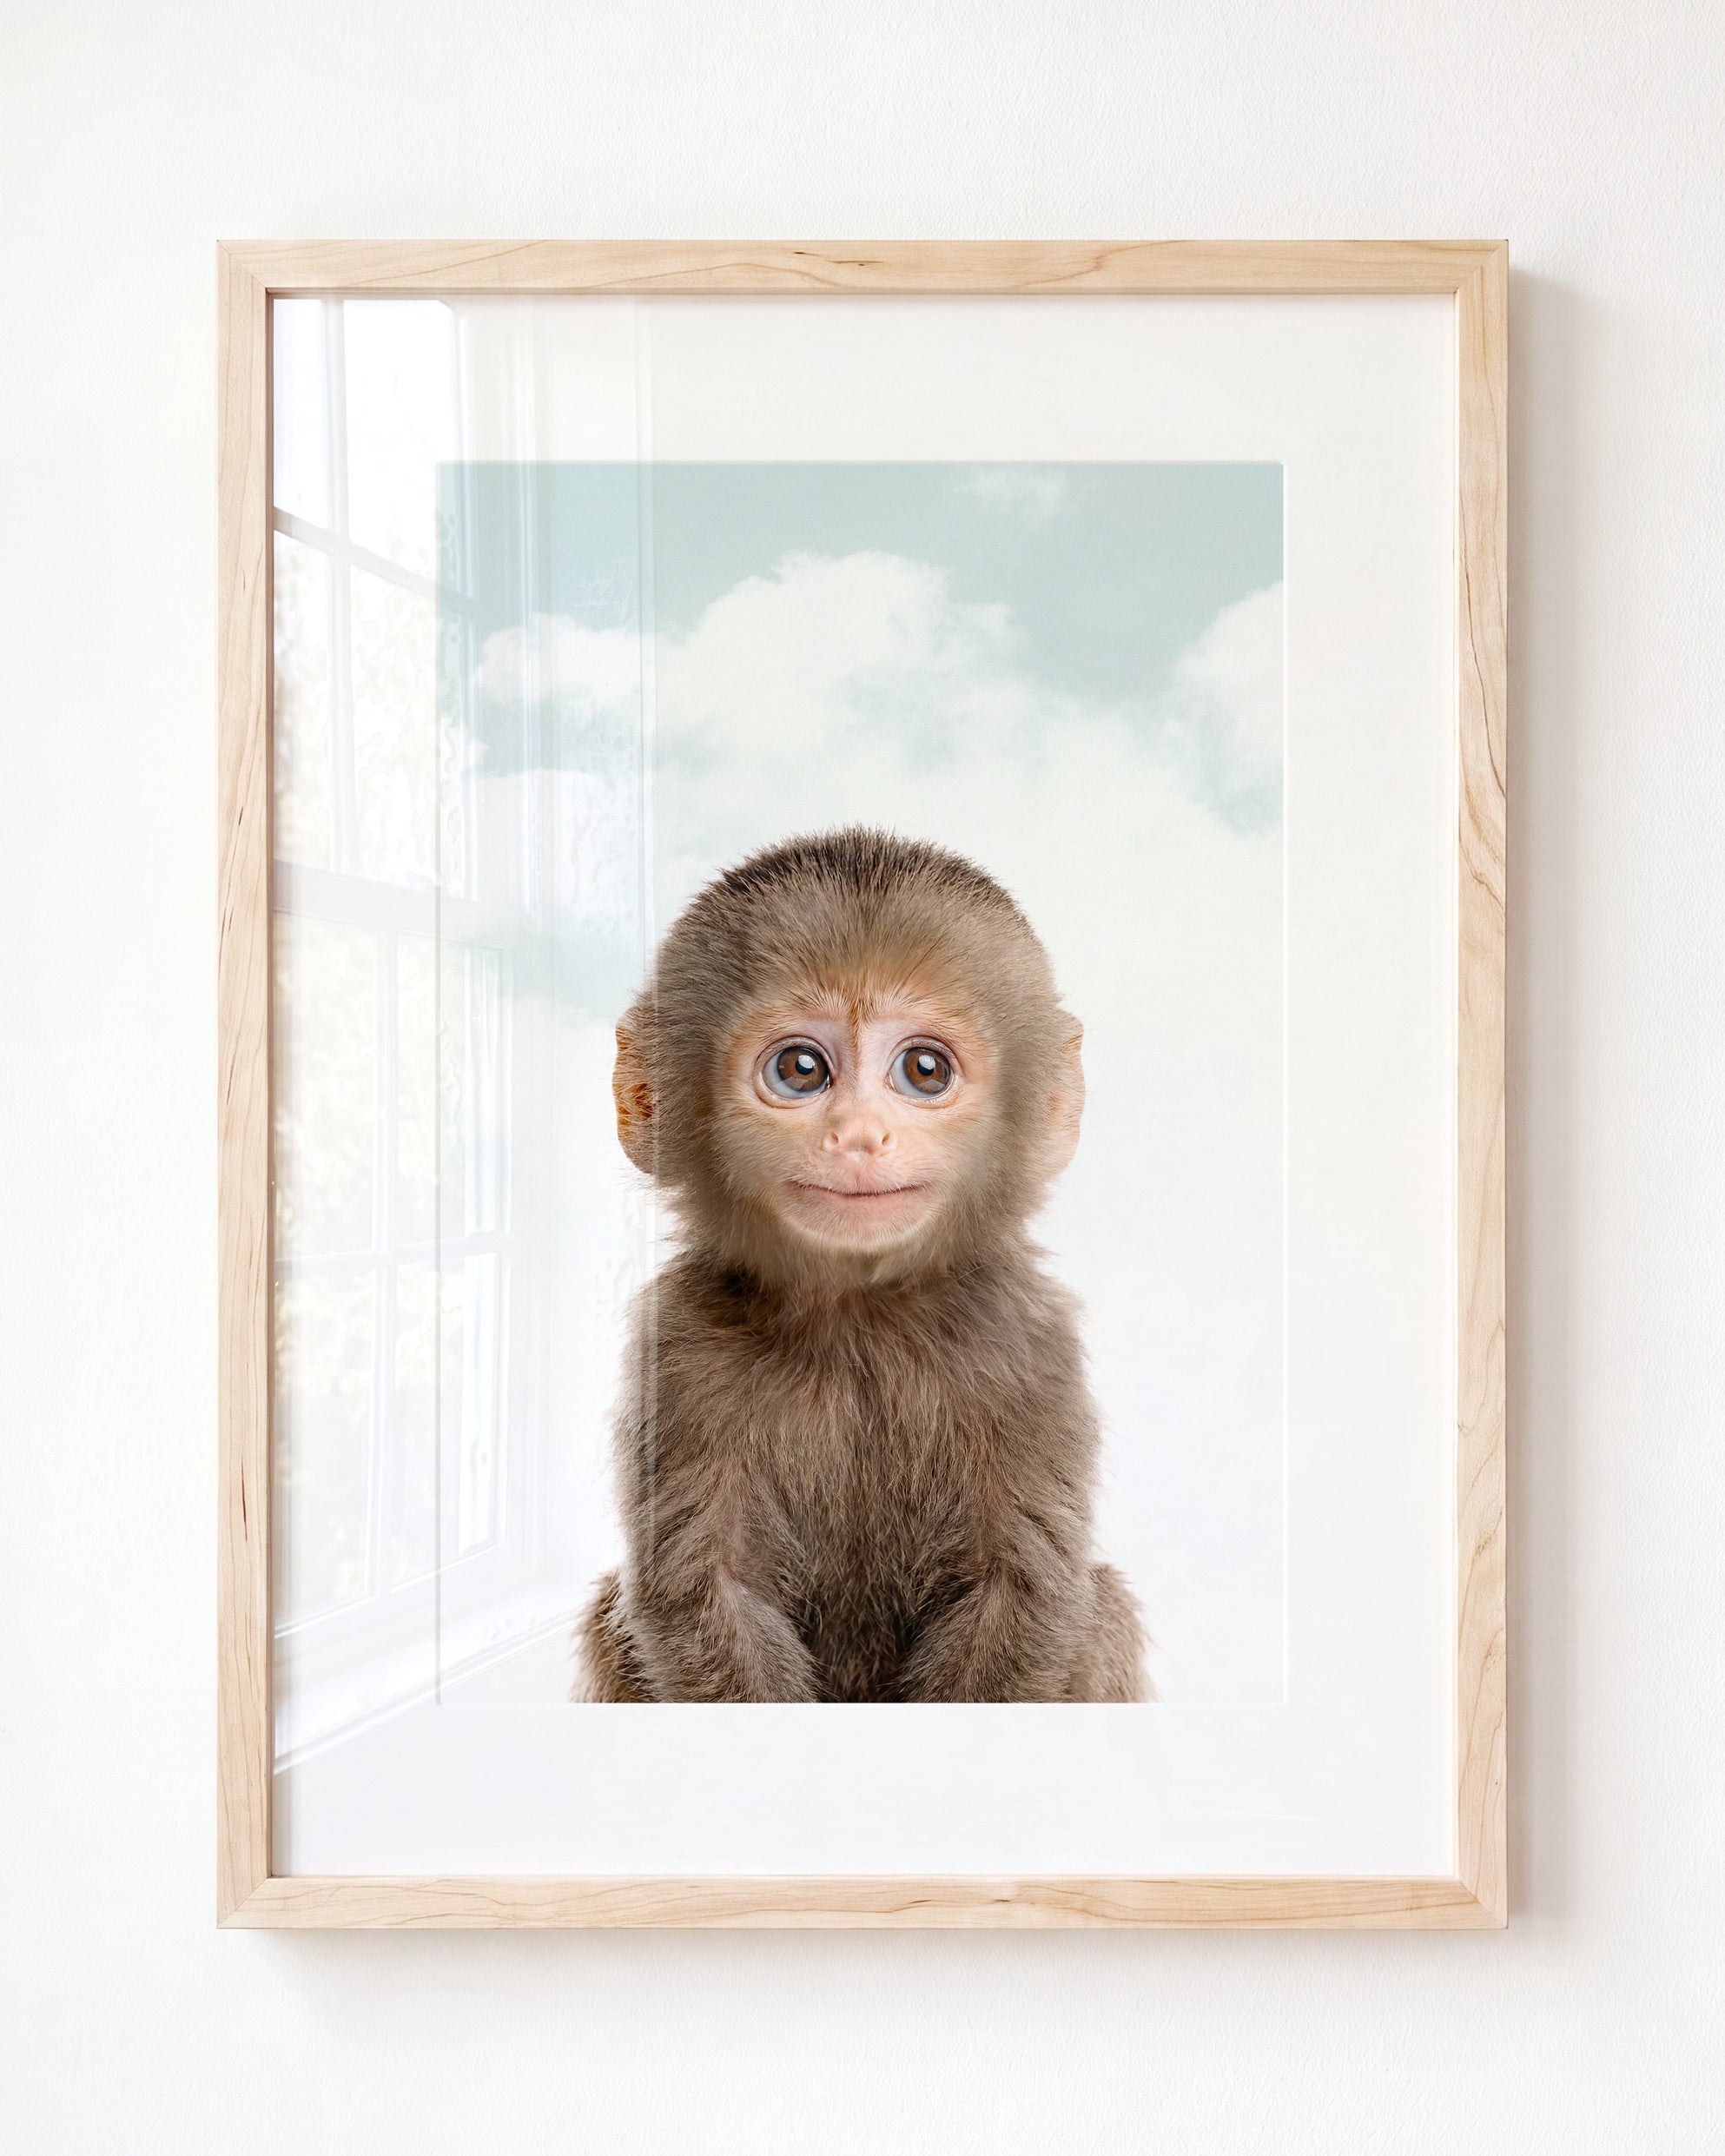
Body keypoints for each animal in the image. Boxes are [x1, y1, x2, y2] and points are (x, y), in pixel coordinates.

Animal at [573, 826, 1147, 1703]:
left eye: (924, 1070)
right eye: (801, 1069)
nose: (859, 1136)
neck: (859, 1319)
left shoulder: (1029, 1345)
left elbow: (1020, 1590)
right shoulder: (677, 1350)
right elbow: (704, 1593)